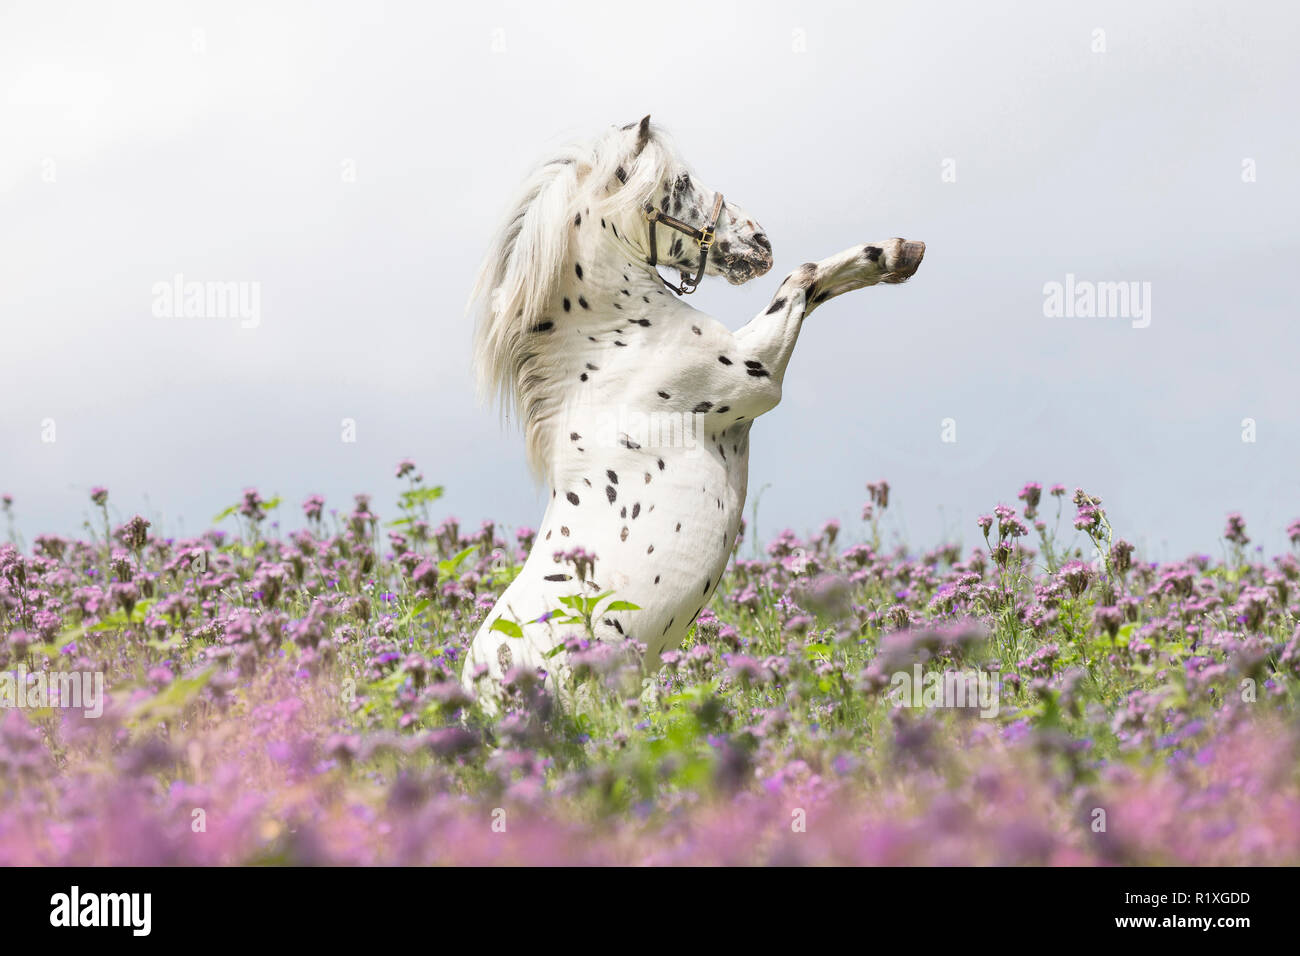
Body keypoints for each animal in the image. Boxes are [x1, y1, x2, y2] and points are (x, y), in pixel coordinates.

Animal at [462, 115, 925, 703]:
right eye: (680, 182)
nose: (759, 241)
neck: (611, 346)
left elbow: (813, 286)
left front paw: (899, 254)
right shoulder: (757, 376)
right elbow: (803, 279)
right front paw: (894, 253)